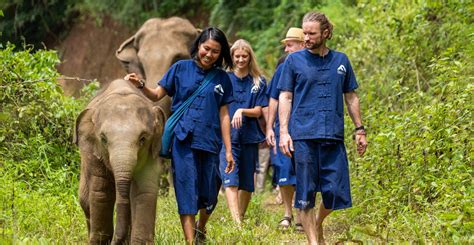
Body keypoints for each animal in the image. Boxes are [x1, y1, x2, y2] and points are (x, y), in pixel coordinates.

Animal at [73, 78, 169, 243]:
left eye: (142, 139)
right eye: (103, 139)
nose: (115, 241)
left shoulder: (153, 151)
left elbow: (144, 190)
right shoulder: (94, 153)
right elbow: (101, 191)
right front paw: (100, 242)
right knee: (85, 201)